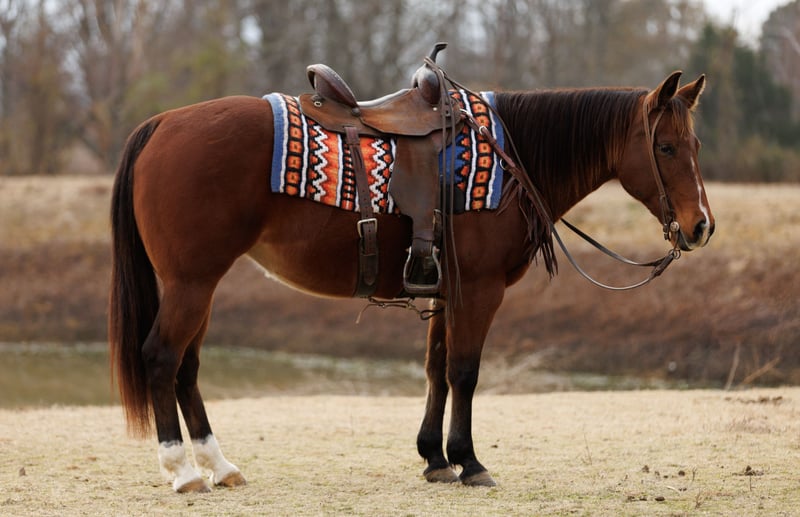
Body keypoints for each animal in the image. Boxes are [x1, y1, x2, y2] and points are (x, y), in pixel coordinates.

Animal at [109, 70, 713, 492]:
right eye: (664, 147)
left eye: (696, 146)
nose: (700, 226)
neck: (509, 159)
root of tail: (162, 123)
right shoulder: (481, 290)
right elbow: (465, 372)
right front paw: (469, 461)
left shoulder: (447, 292)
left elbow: (436, 370)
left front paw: (435, 458)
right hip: (190, 283)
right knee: (161, 357)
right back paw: (183, 471)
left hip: (200, 285)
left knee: (187, 368)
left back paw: (219, 464)